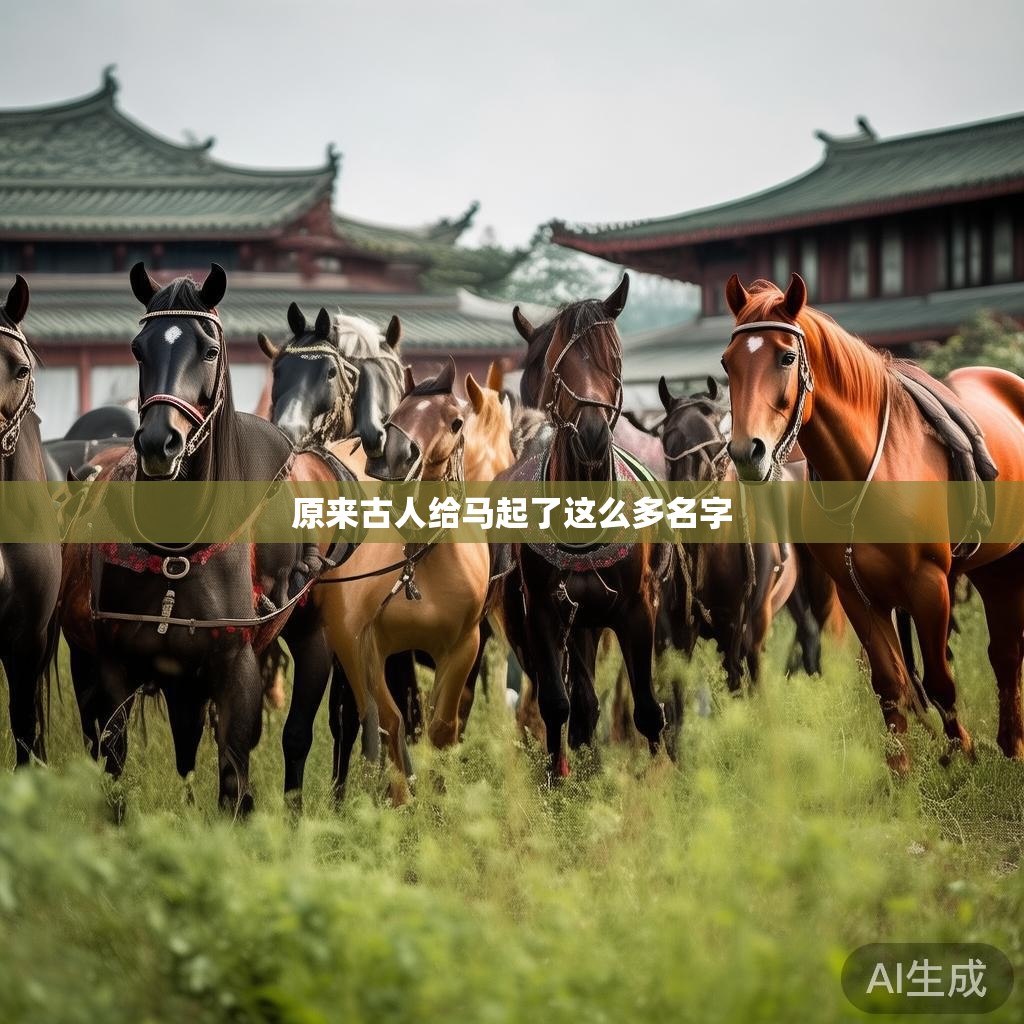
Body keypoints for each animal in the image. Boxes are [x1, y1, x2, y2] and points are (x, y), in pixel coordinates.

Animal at [58, 263, 348, 812]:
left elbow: (234, 772)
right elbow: (114, 765)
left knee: (298, 731)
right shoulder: (112, 667)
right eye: (137, 349)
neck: (175, 553)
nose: (158, 442)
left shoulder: (235, 668)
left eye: (209, 350)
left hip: (314, 631)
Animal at [313, 357, 511, 799]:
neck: (418, 561)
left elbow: (441, 727)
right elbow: (390, 721)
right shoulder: (363, 644)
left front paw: (437, 797)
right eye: (396, 414)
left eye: (455, 422)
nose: (396, 455)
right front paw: (402, 798)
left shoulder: (464, 646)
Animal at [500, 275, 669, 777]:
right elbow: (557, 704)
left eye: (613, 356)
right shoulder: (541, 611)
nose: (593, 431)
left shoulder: (638, 609)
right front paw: (558, 777)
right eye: (560, 362)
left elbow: (648, 708)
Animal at [722, 272, 1024, 768]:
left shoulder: (929, 584)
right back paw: (1011, 746)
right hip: (995, 566)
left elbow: (939, 681)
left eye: (787, 357)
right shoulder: (854, 592)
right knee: (1005, 652)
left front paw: (960, 751)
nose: (748, 452)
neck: (867, 467)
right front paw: (901, 770)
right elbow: (890, 685)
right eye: (727, 363)